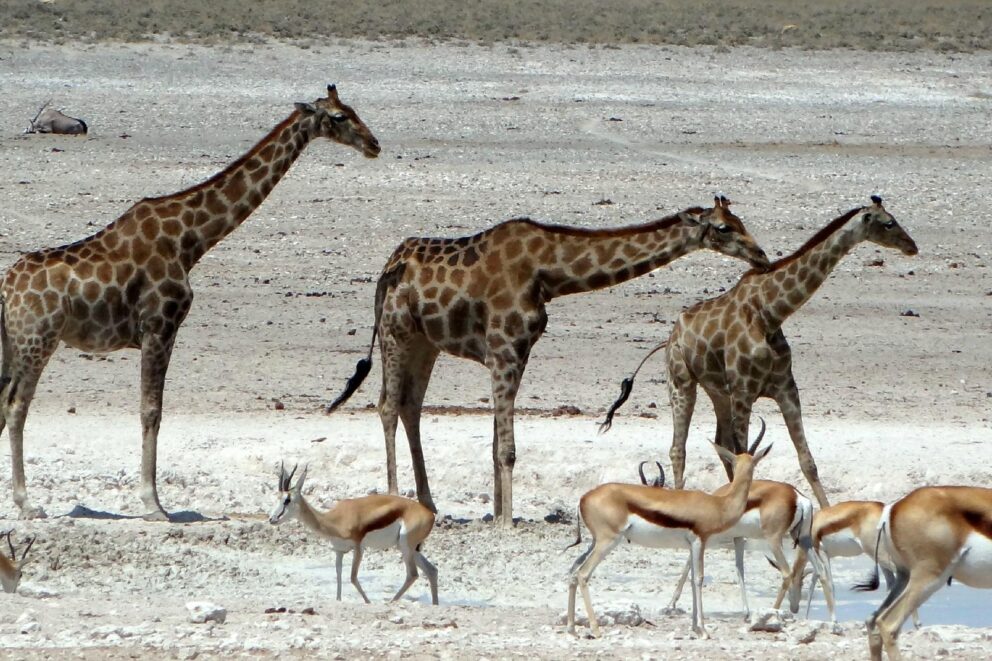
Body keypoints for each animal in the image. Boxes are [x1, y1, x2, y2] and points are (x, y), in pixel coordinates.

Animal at [0, 85, 380, 521]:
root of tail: (6, 288)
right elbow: (152, 410)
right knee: (16, 405)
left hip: (12, 343)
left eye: (352, 110)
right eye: (338, 116)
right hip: (38, 340)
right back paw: (26, 503)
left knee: (1, 401)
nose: (374, 144)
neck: (190, 240)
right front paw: (154, 504)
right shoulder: (160, 327)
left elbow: (152, 410)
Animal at [327, 196, 770, 526]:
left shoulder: (516, 352)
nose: (762, 256)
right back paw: (394, 496)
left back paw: (429, 504)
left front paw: (500, 513)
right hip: (396, 332)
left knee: (410, 406)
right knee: (387, 406)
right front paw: (507, 522)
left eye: (741, 220)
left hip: (425, 343)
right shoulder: (505, 348)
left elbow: (496, 442)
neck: (548, 273)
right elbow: (506, 447)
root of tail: (387, 269)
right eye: (725, 227)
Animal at [601, 196, 918, 509]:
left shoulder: (785, 388)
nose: (912, 246)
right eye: (889, 223)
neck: (770, 313)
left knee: (720, 442)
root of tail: (669, 339)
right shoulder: (744, 391)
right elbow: (744, 453)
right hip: (681, 382)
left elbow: (806, 461)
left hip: (718, 391)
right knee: (679, 449)